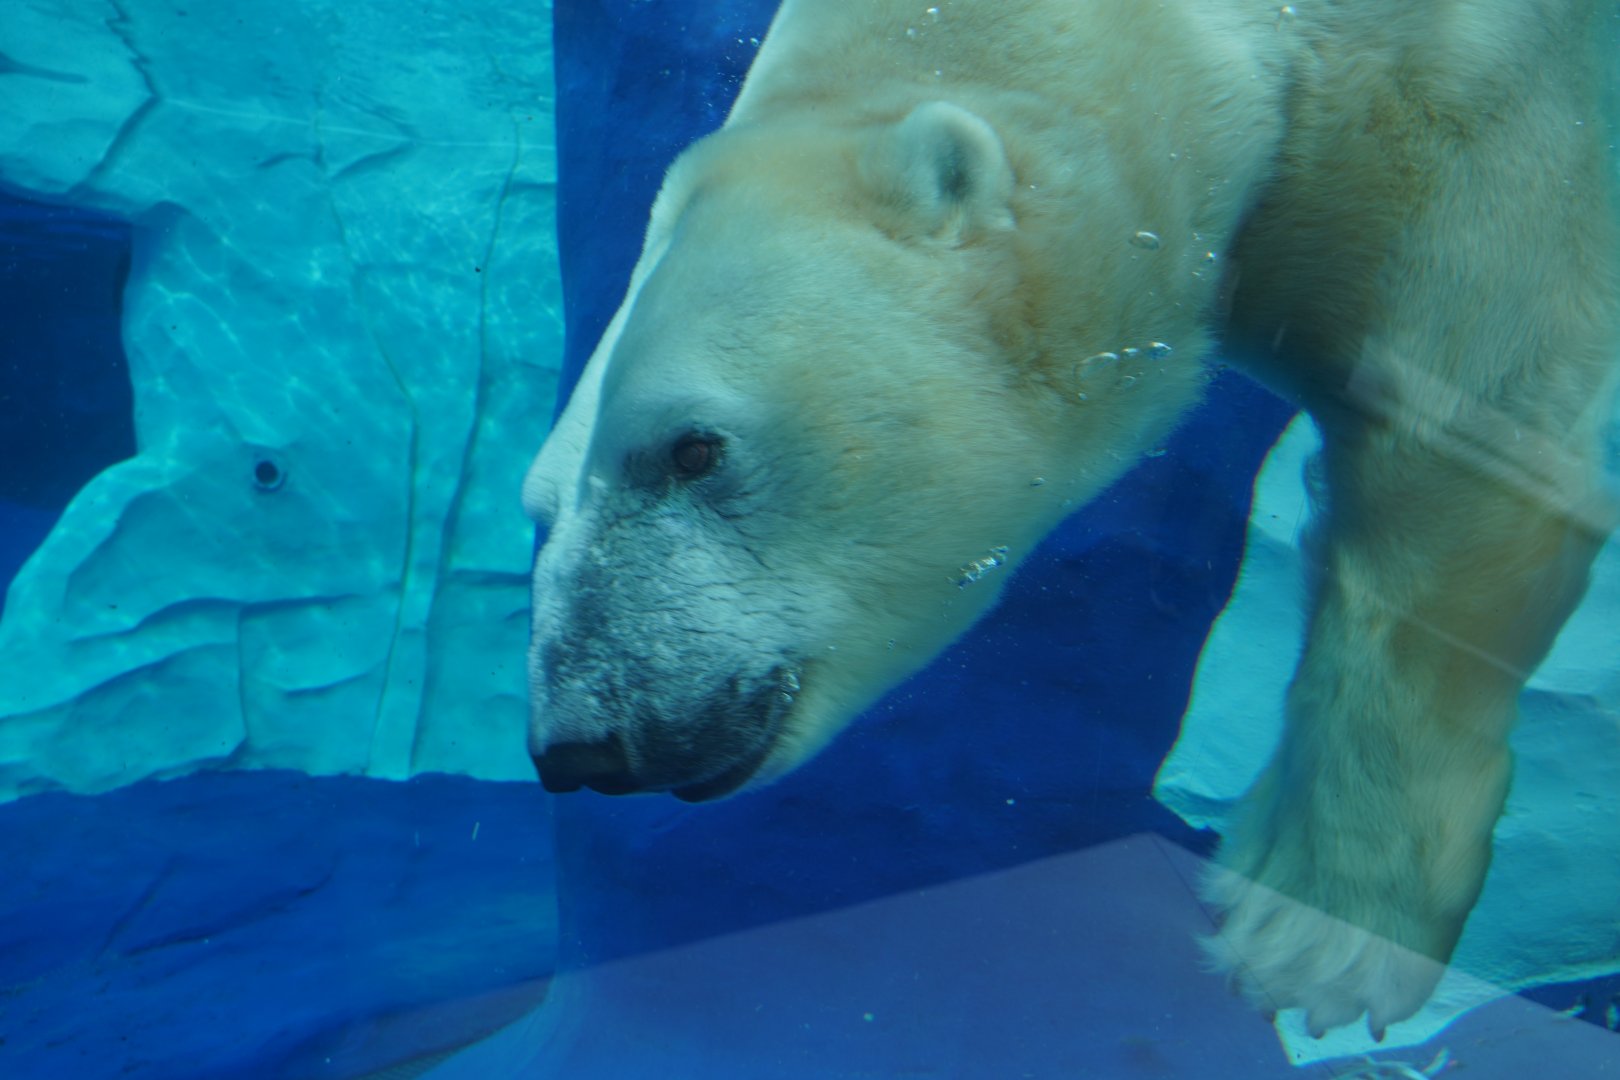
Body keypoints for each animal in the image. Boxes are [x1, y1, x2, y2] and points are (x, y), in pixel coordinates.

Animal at [521, 0, 1620, 1040]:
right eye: (541, 503)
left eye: (693, 449)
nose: (579, 747)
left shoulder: (1455, 105)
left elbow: (1457, 431)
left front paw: (1314, 935)